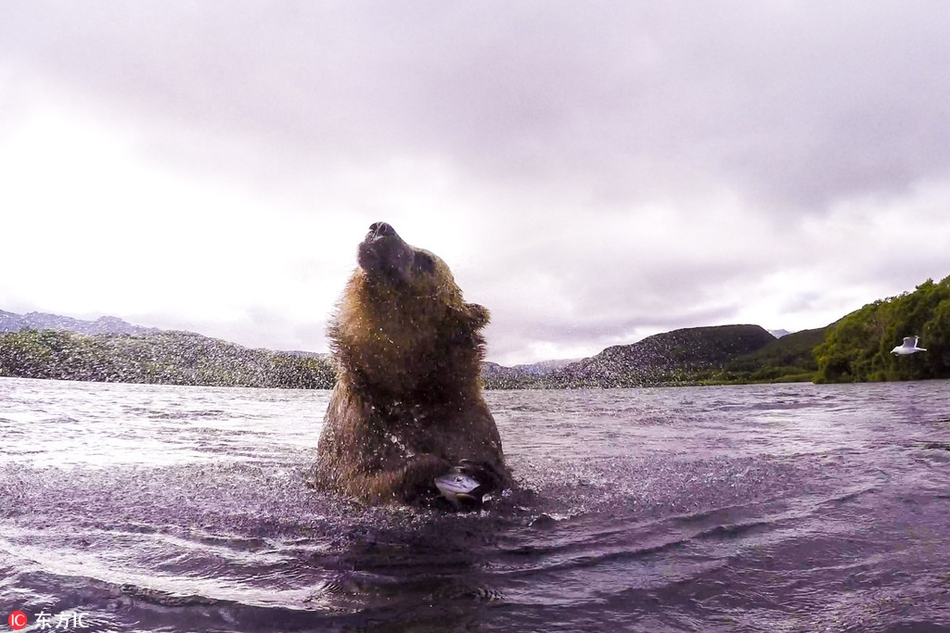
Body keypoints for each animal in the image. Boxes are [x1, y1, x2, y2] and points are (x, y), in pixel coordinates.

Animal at [316, 220, 512, 506]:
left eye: (427, 259)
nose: (380, 228)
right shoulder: (354, 427)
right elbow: (357, 479)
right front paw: (429, 464)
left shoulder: (467, 421)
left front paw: (480, 471)